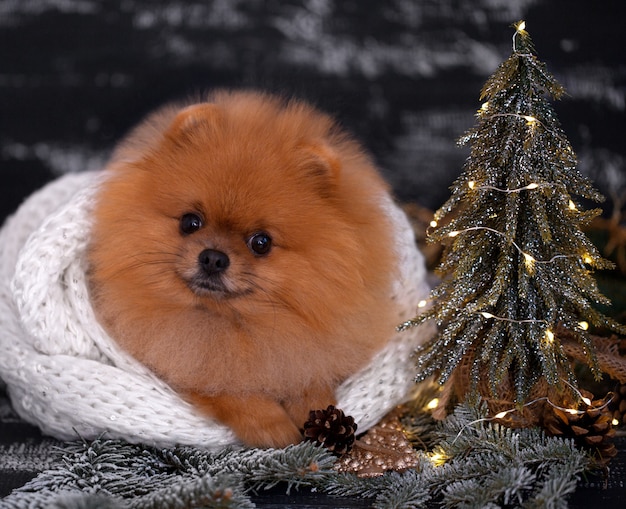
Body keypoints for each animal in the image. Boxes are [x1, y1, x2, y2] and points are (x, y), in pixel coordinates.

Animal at [87, 89, 398, 446]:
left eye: (261, 242)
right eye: (190, 222)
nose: (213, 257)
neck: (232, 323)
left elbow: (307, 375)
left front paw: (318, 412)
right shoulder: (181, 363)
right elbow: (229, 390)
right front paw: (273, 427)